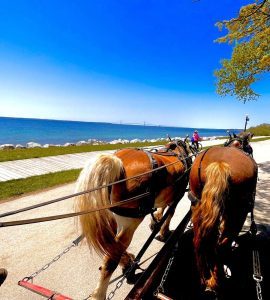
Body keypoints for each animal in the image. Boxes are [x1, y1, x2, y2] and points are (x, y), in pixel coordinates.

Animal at [74, 141, 192, 300]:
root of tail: (117, 161)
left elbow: (162, 209)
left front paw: (156, 221)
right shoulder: (178, 195)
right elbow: (170, 213)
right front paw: (163, 232)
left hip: (112, 217)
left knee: (112, 246)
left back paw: (128, 261)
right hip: (130, 221)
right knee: (112, 256)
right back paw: (100, 293)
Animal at [188, 145, 258, 296]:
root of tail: (219, 164)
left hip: (197, 203)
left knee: (199, 241)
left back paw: (206, 278)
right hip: (238, 211)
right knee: (221, 245)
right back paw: (218, 279)